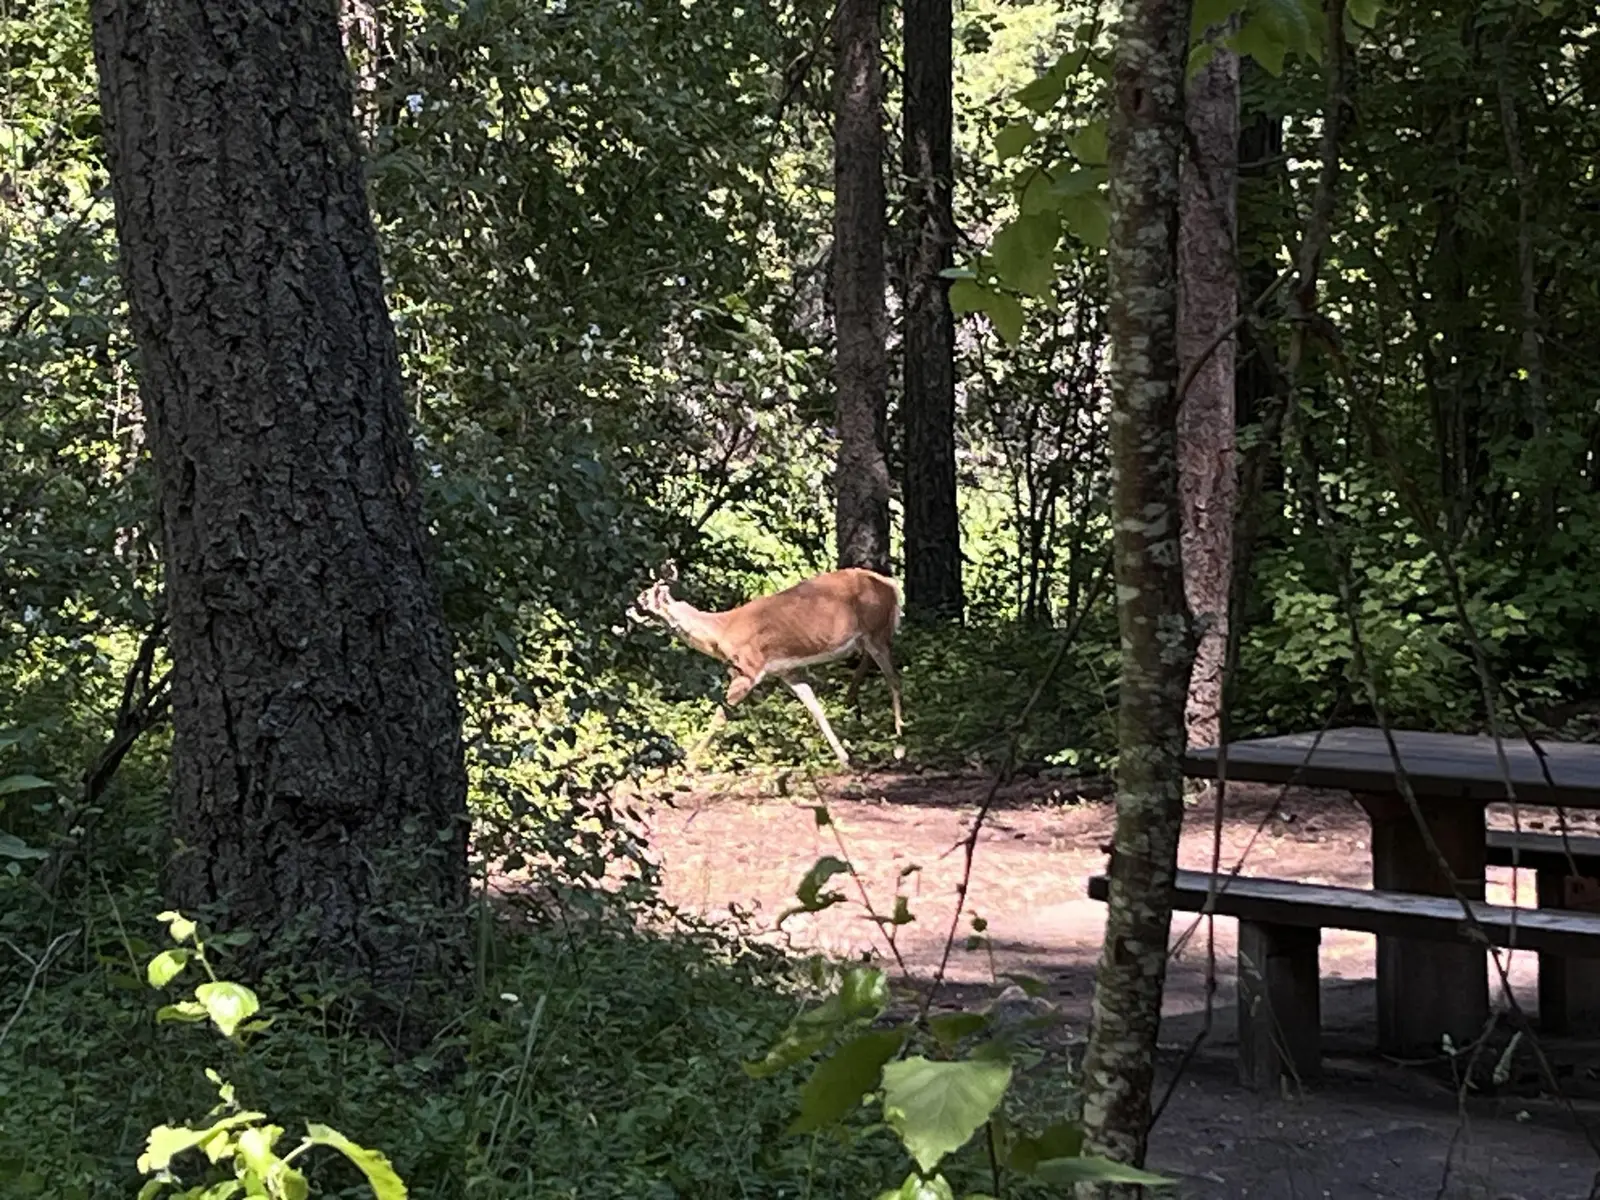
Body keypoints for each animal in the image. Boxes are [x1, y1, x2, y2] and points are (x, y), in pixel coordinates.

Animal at [633, 563, 903, 766]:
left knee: (894, 678)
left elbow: (721, 715)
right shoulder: (787, 670)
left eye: (644, 597)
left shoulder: (747, 670)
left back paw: (899, 740)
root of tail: (892, 585)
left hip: (876, 631)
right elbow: (814, 706)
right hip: (870, 637)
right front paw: (844, 757)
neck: (721, 632)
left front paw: (689, 760)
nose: (629, 610)